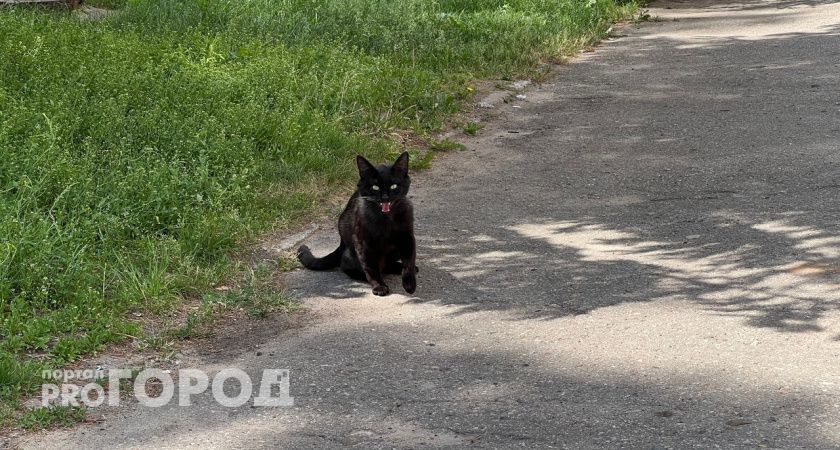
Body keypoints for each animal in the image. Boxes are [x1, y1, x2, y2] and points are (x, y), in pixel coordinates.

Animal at [300, 153, 418, 298]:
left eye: (394, 186)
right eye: (375, 187)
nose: (385, 197)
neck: (385, 219)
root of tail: (341, 245)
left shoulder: (407, 237)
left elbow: (409, 261)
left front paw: (410, 284)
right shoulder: (363, 242)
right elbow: (371, 267)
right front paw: (379, 286)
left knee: (387, 264)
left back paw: (399, 268)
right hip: (351, 255)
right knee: (348, 266)